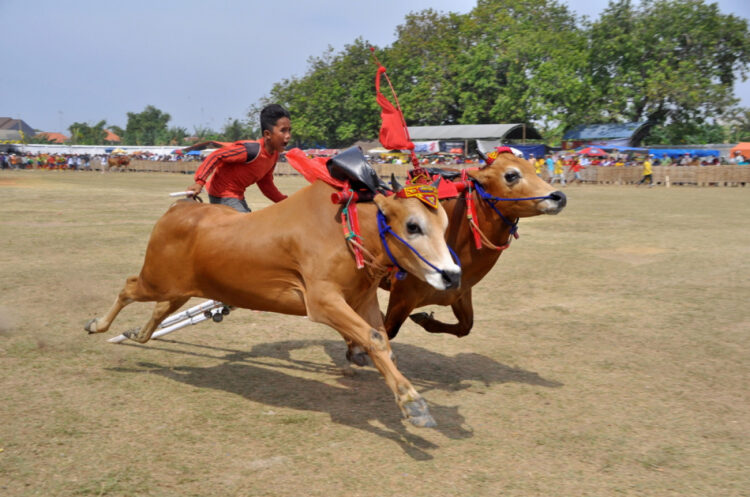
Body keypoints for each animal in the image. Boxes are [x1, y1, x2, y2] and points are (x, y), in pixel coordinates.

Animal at [88, 180, 464, 424]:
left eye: (444, 223)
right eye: (413, 225)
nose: (452, 275)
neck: (349, 233)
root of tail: (177, 208)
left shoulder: (363, 299)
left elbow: (380, 341)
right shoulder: (322, 301)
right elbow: (374, 339)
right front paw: (413, 403)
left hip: (179, 289)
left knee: (158, 310)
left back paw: (138, 334)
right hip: (155, 280)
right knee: (128, 288)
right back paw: (98, 325)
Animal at [384, 151, 568, 340]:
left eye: (532, 168)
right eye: (511, 175)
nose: (560, 197)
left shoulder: (460, 293)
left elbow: (466, 326)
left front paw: (425, 319)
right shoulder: (402, 296)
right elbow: (386, 331)